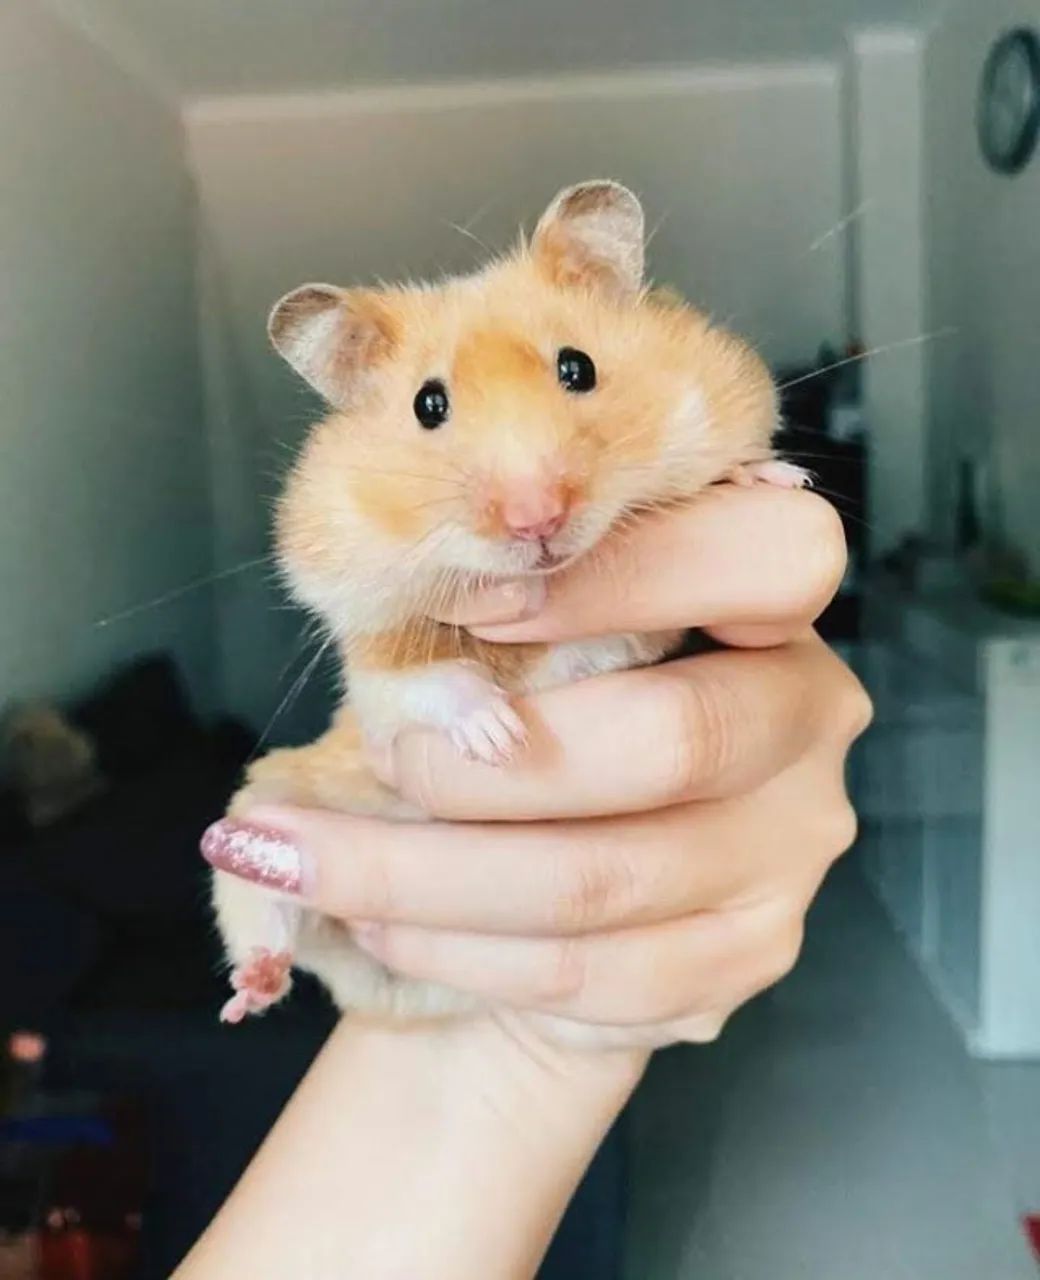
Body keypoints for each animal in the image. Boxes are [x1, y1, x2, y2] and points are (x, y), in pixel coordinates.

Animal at [209, 179, 807, 1025]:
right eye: (428, 405)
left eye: (577, 367)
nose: (537, 521)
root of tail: (409, 1000)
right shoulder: (374, 653)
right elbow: (422, 681)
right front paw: (500, 739)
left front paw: (773, 477)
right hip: (264, 813)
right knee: (266, 913)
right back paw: (249, 993)